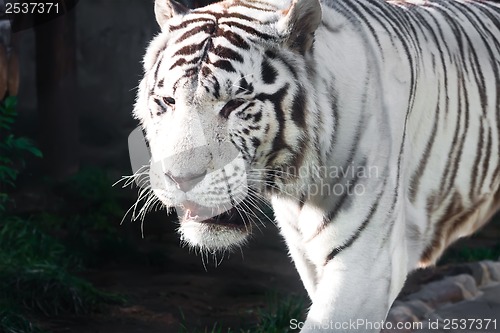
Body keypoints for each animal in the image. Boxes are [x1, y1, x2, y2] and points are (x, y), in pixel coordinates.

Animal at [133, 1, 500, 330]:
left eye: (235, 104)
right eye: (168, 101)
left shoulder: (366, 264)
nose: (181, 179)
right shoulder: (307, 256)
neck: (297, 183)